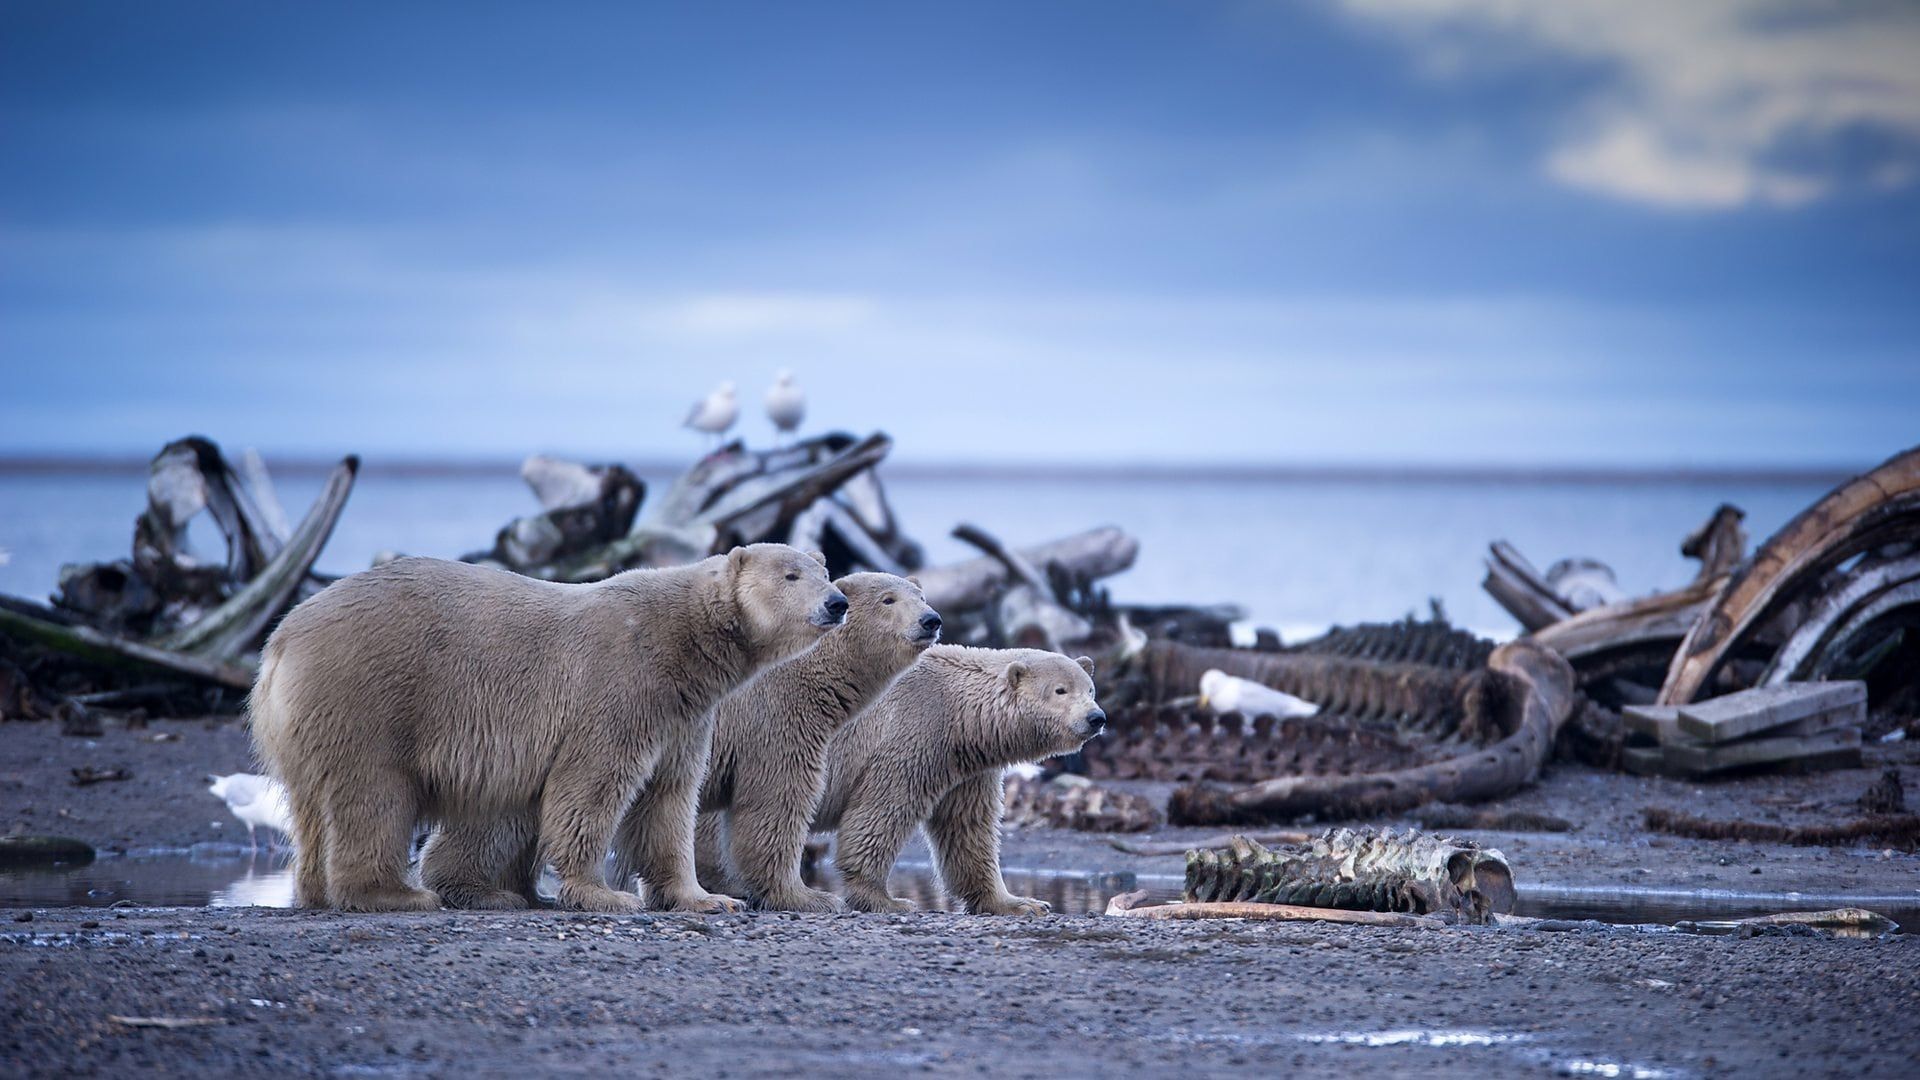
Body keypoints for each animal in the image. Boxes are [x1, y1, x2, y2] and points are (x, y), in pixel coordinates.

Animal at [251, 545, 844, 907]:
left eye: (826, 572)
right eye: (791, 575)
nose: (837, 603)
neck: (683, 640)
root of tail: (280, 641)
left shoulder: (684, 715)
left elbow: (668, 801)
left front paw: (706, 899)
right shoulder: (622, 684)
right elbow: (591, 786)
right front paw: (603, 894)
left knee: (313, 808)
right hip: (368, 696)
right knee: (373, 795)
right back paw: (397, 894)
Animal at [675, 572, 944, 907]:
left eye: (921, 597)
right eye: (888, 599)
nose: (930, 620)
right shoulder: (776, 716)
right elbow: (778, 797)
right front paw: (809, 896)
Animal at [814, 641, 1113, 910]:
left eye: (1090, 689)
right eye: (1060, 690)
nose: (1096, 717)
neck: (960, 713)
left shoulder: (965, 766)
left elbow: (967, 826)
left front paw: (1020, 903)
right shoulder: (912, 734)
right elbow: (883, 810)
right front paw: (885, 899)